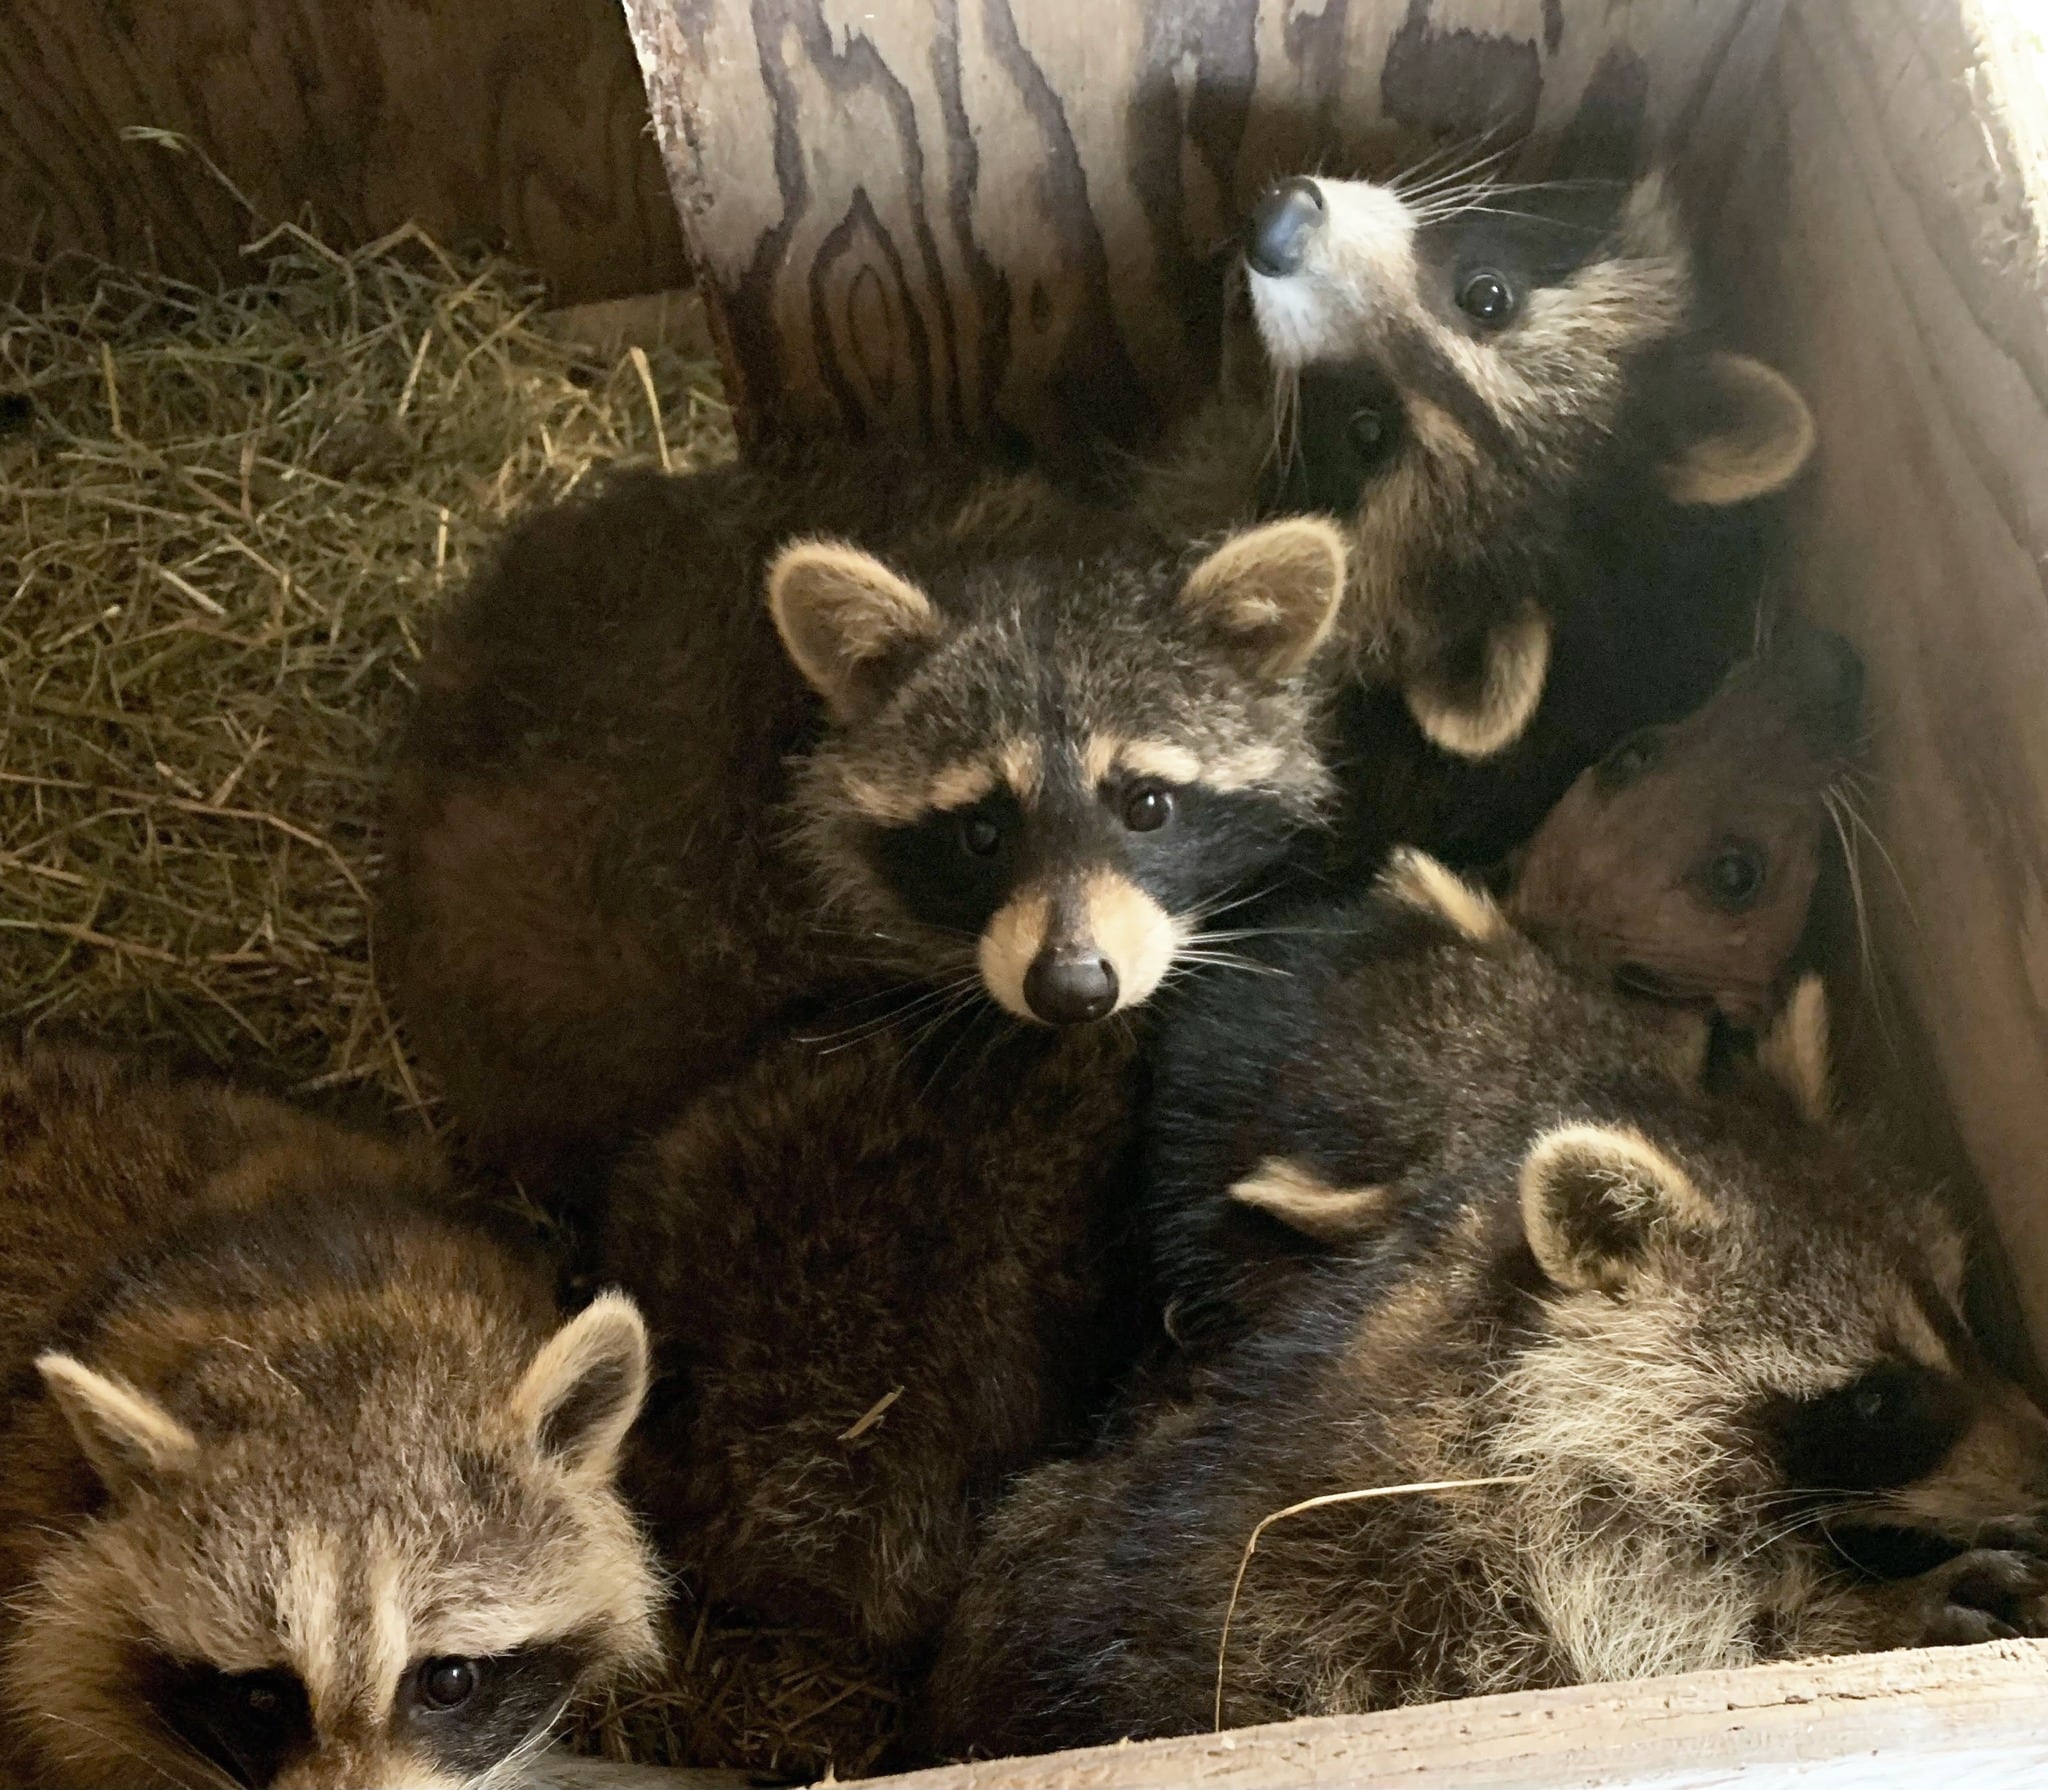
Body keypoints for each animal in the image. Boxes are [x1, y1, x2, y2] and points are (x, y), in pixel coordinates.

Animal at [925, 856, 2048, 1753]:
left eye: (1961, 1311)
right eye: (1875, 1401)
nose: (2041, 1461)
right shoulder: (1510, 1540)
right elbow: (1665, 1636)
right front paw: (1868, 1611)